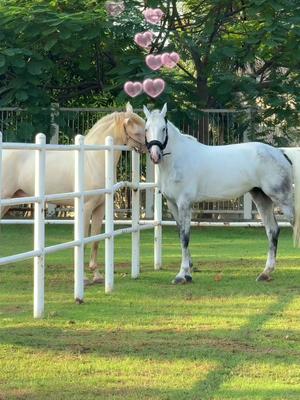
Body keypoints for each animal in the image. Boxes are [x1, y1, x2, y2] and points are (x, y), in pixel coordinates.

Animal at [0, 103, 146, 284]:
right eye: (140, 131)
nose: (154, 149)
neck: (93, 159)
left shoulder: (100, 208)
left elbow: (95, 239)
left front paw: (97, 275)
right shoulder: (86, 207)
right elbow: (83, 239)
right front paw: (82, 277)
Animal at [143, 104, 300, 282]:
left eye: (163, 128)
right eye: (146, 128)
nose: (155, 155)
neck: (177, 159)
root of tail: (280, 153)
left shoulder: (184, 203)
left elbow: (185, 236)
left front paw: (182, 275)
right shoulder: (172, 204)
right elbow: (180, 234)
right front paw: (188, 272)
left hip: (282, 199)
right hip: (262, 198)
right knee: (272, 230)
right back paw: (265, 273)